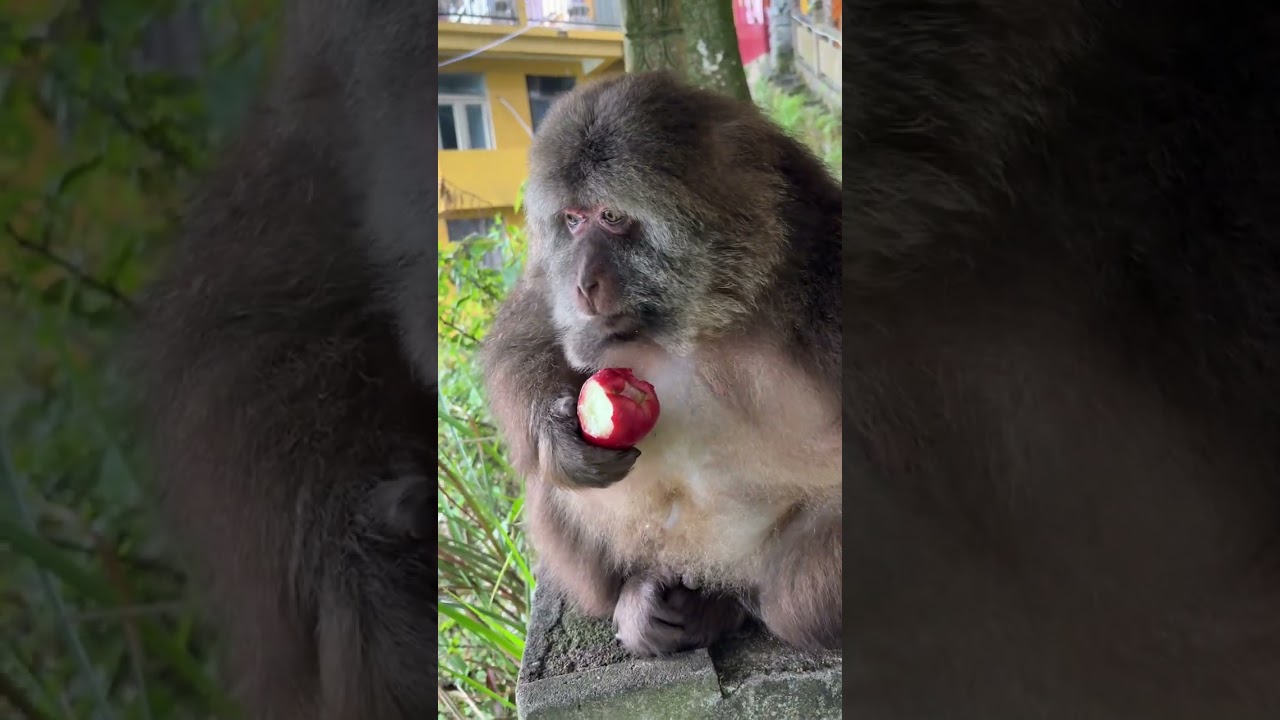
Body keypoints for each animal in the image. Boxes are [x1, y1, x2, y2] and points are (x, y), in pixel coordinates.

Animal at [481, 71, 843, 658]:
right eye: (573, 221)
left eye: (611, 217)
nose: (582, 283)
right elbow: (532, 318)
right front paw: (555, 431)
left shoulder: (824, 271)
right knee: (544, 483)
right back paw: (635, 598)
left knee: (793, 603)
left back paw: (722, 608)